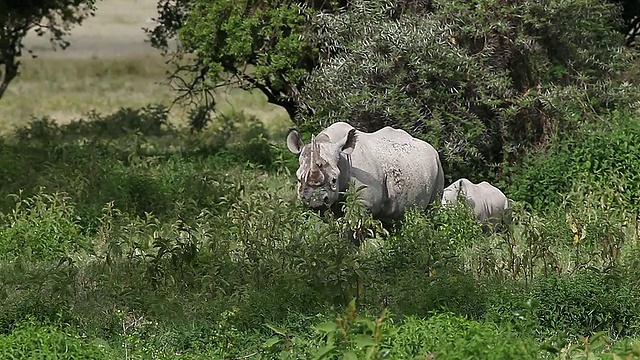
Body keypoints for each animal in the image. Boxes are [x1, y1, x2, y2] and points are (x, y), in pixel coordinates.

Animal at [286, 120, 444, 225]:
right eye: (298, 179)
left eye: (334, 180)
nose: (314, 200)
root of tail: (432, 149)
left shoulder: (363, 204)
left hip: (438, 167)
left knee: (433, 210)